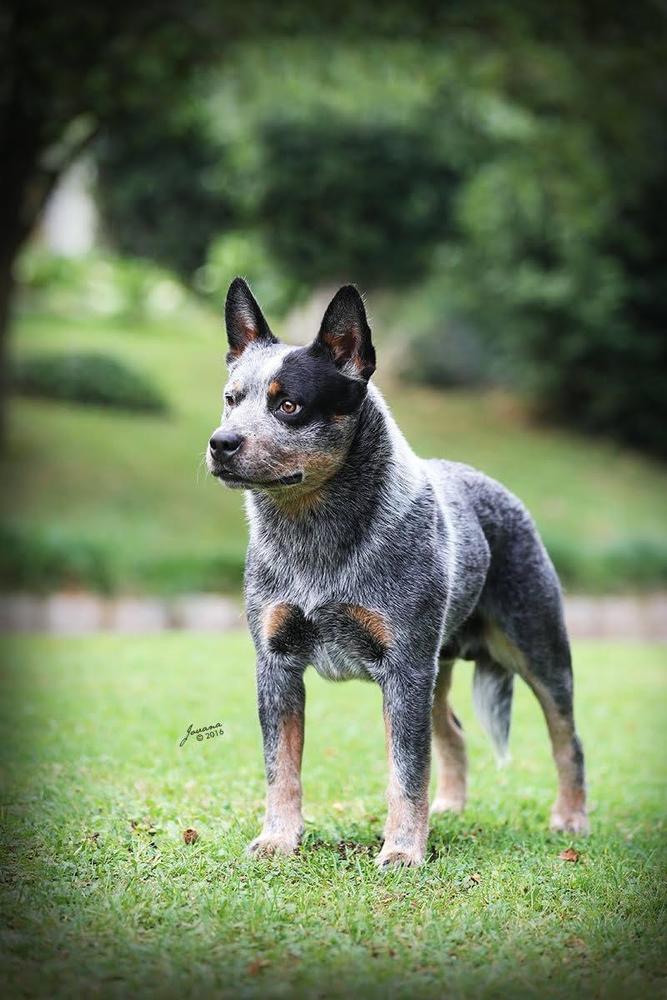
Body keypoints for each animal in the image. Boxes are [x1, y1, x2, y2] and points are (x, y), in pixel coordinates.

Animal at [206, 276, 588, 868]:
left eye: (289, 405)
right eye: (231, 399)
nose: (221, 444)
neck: (315, 544)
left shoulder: (404, 667)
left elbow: (406, 769)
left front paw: (404, 850)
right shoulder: (276, 663)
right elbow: (281, 768)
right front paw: (278, 839)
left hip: (537, 650)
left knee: (567, 737)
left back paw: (570, 818)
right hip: (438, 667)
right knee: (451, 731)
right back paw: (449, 808)